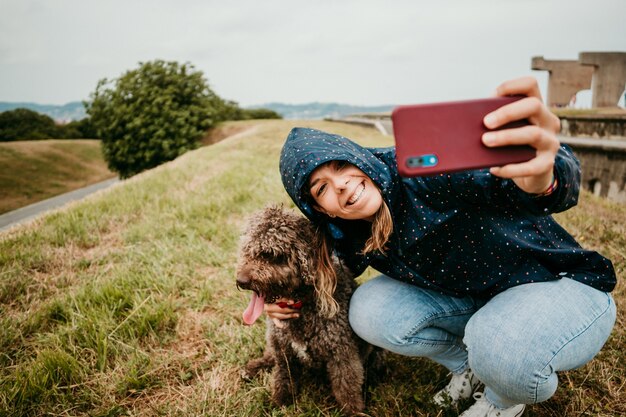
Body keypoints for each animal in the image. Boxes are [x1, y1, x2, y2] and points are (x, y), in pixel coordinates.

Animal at [235, 206, 378, 416]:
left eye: (270, 253)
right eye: (248, 249)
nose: (241, 281)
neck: (302, 304)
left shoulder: (342, 354)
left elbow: (347, 388)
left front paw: (353, 412)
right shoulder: (283, 350)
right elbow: (283, 377)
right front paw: (279, 402)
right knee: (270, 356)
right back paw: (253, 367)